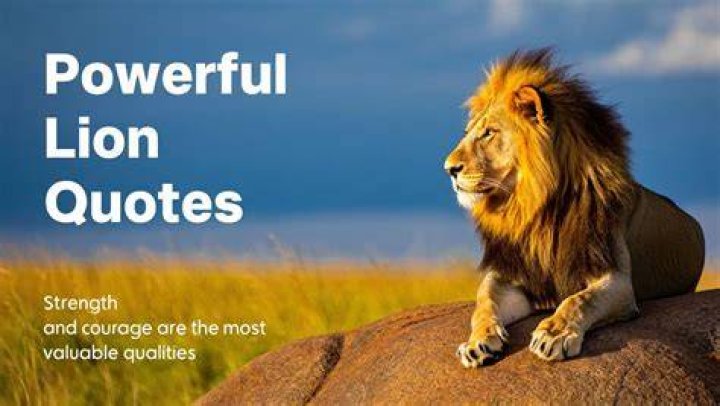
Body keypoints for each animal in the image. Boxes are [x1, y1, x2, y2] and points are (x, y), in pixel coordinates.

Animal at [446, 48, 705, 367]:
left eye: (489, 133)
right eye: (469, 132)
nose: (449, 169)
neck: (536, 209)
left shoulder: (617, 279)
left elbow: (579, 300)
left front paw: (553, 335)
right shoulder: (513, 275)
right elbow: (484, 301)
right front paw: (477, 342)